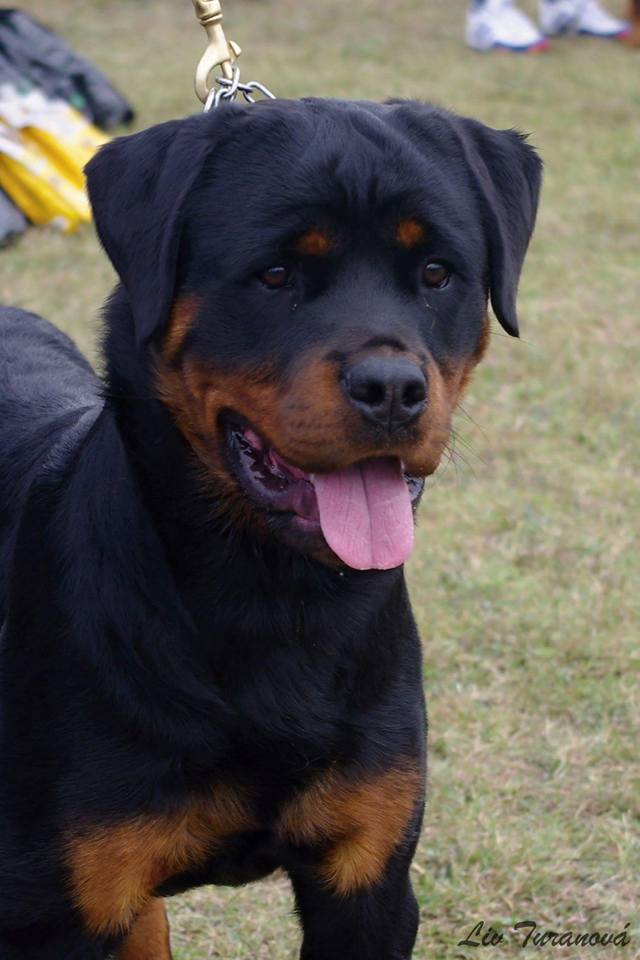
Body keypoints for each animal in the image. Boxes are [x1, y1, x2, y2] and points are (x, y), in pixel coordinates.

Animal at [0, 101, 540, 956]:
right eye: (277, 275)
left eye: (436, 274)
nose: (393, 387)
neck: (275, 597)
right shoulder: (60, 910)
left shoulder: (369, 883)